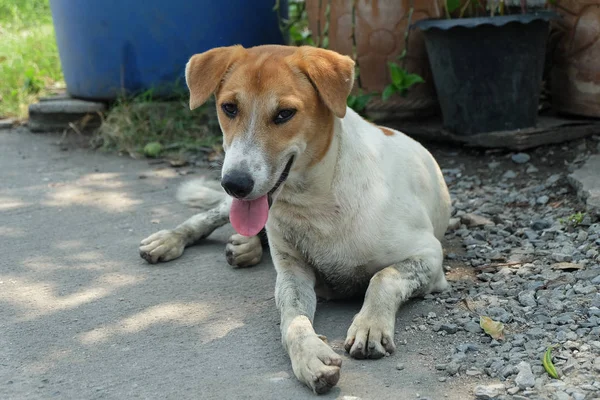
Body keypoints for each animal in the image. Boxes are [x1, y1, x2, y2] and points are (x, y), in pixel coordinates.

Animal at [139, 43, 450, 394]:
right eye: (229, 108)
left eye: (284, 114)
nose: (235, 183)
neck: (316, 201)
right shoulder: (292, 275)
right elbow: (292, 319)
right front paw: (309, 354)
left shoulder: (429, 256)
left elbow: (383, 277)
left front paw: (370, 324)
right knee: (209, 217)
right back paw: (175, 239)